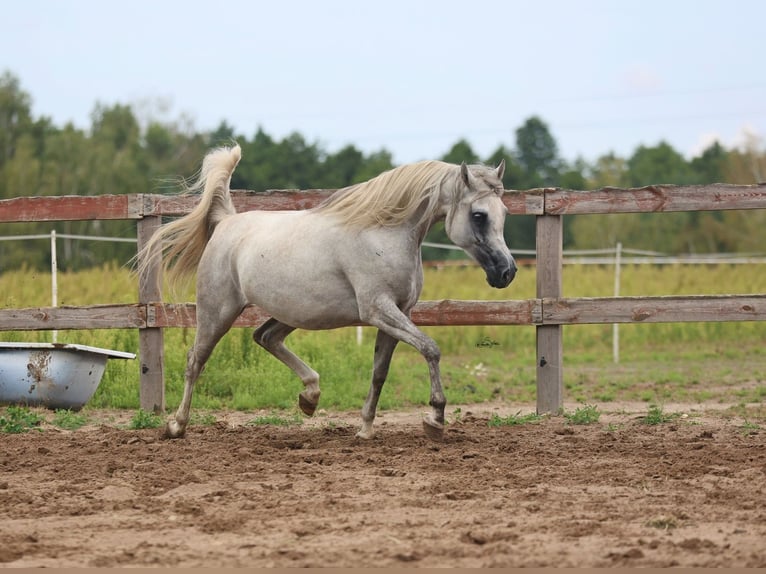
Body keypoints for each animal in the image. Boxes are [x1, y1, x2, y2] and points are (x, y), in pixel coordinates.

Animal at [139, 144, 520, 440]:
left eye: (504, 212)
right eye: (479, 215)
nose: (507, 271)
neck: (384, 233)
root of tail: (227, 222)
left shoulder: (398, 313)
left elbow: (380, 372)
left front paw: (365, 429)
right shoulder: (378, 309)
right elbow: (431, 348)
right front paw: (436, 419)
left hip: (291, 312)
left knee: (265, 337)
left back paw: (310, 397)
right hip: (218, 310)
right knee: (196, 360)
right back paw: (176, 426)